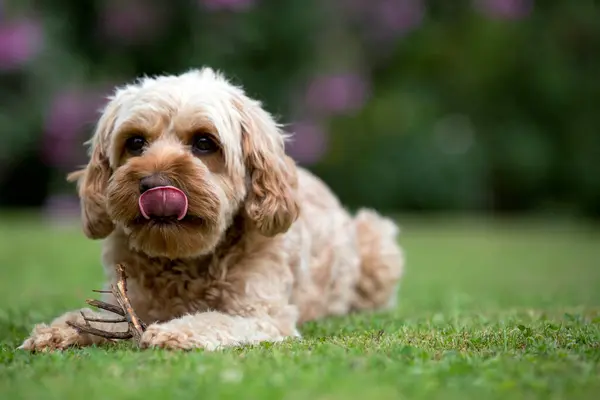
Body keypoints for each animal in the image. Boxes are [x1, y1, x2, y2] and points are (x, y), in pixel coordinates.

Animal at [19, 68, 404, 350]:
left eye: (205, 143)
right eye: (136, 142)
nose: (154, 183)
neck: (185, 260)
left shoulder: (262, 315)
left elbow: (214, 320)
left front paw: (174, 331)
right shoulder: (131, 301)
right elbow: (97, 318)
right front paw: (57, 330)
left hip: (378, 244)